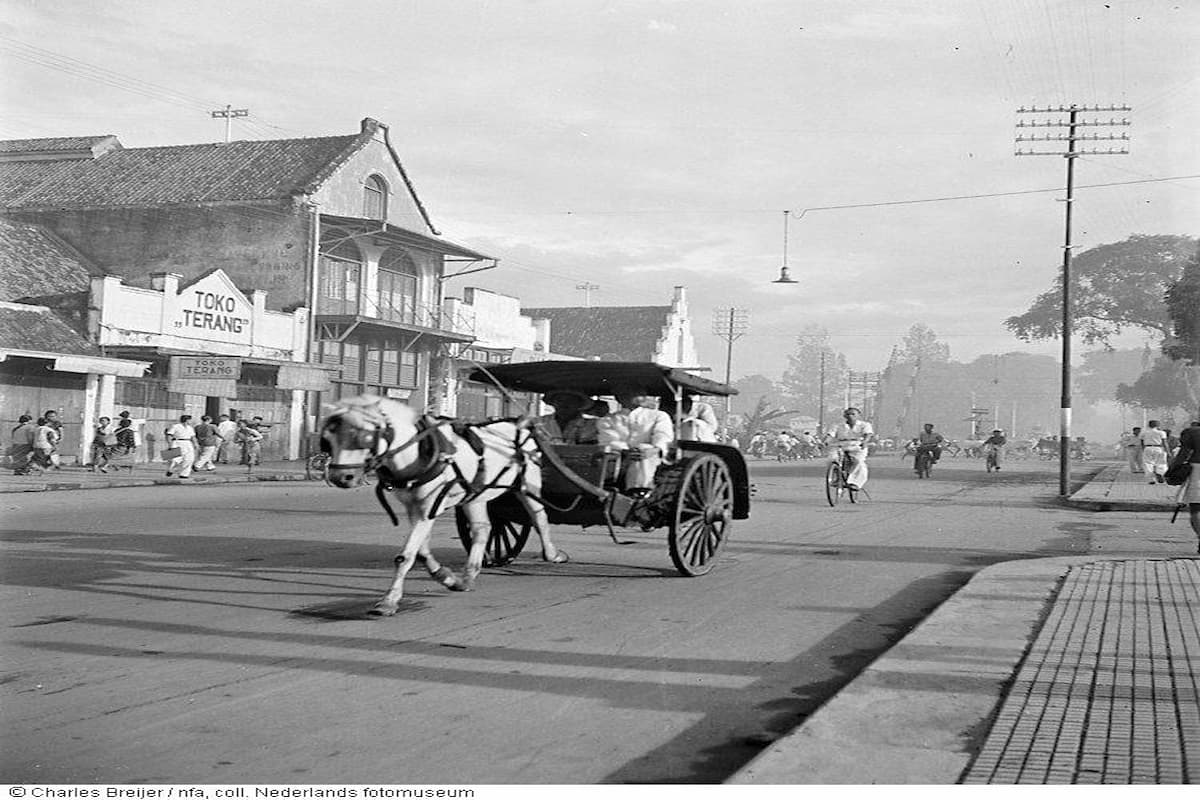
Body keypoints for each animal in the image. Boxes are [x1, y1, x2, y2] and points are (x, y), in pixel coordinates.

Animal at [316, 398, 564, 618]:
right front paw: (446, 577)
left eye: (364, 437)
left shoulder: (428, 506)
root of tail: (518, 425)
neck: (417, 453)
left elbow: (405, 556)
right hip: (475, 494)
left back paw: (552, 555)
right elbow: (421, 552)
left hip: (527, 483)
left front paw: (388, 601)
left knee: (539, 517)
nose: (340, 477)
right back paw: (468, 575)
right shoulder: (414, 507)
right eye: (327, 439)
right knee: (483, 529)